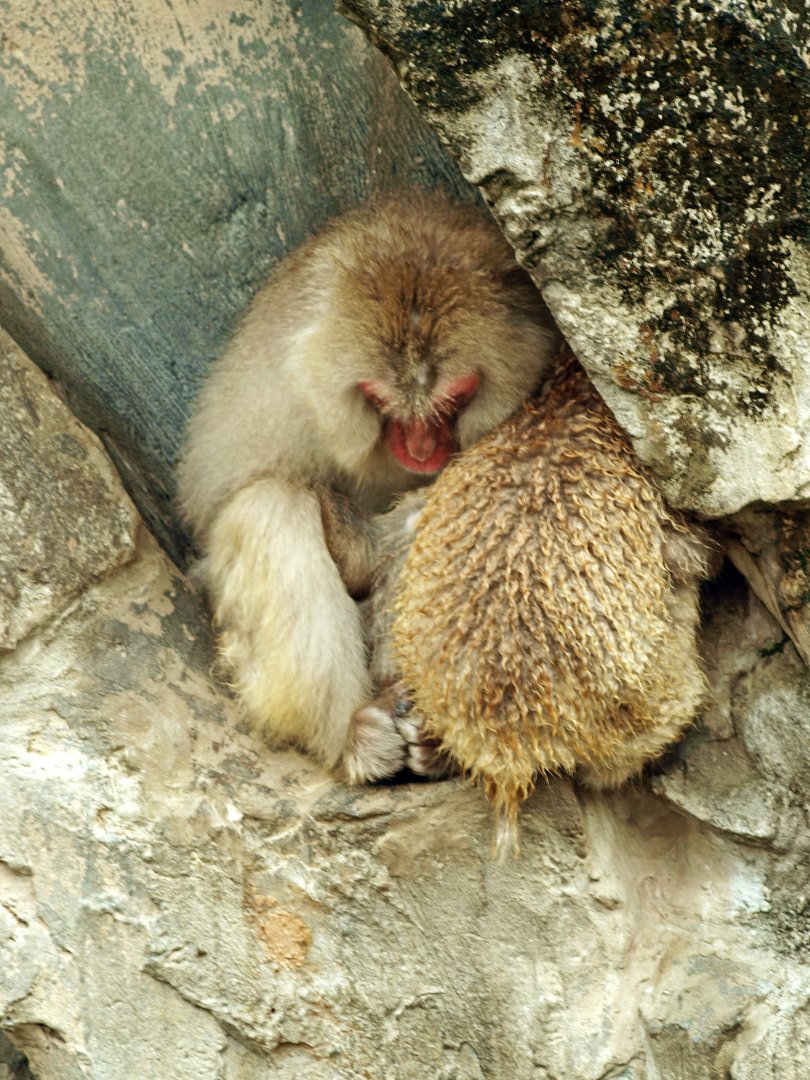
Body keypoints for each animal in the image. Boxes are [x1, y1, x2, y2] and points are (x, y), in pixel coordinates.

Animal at [176, 192, 562, 784]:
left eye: (452, 402)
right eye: (380, 404)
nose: (421, 450)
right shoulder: (278, 389)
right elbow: (226, 498)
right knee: (270, 507)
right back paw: (354, 736)